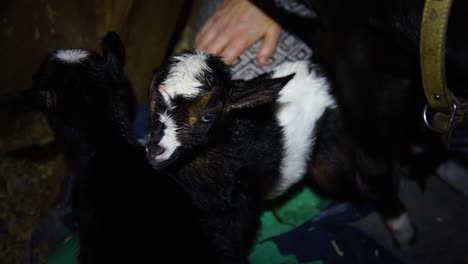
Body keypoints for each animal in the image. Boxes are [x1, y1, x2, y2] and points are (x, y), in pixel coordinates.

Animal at [147, 50, 416, 256]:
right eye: (154, 102)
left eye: (207, 116)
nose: (155, 150)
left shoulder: (239, 210)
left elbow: (230, 247)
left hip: (332, 157)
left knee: (369, 182)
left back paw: (403, 231)